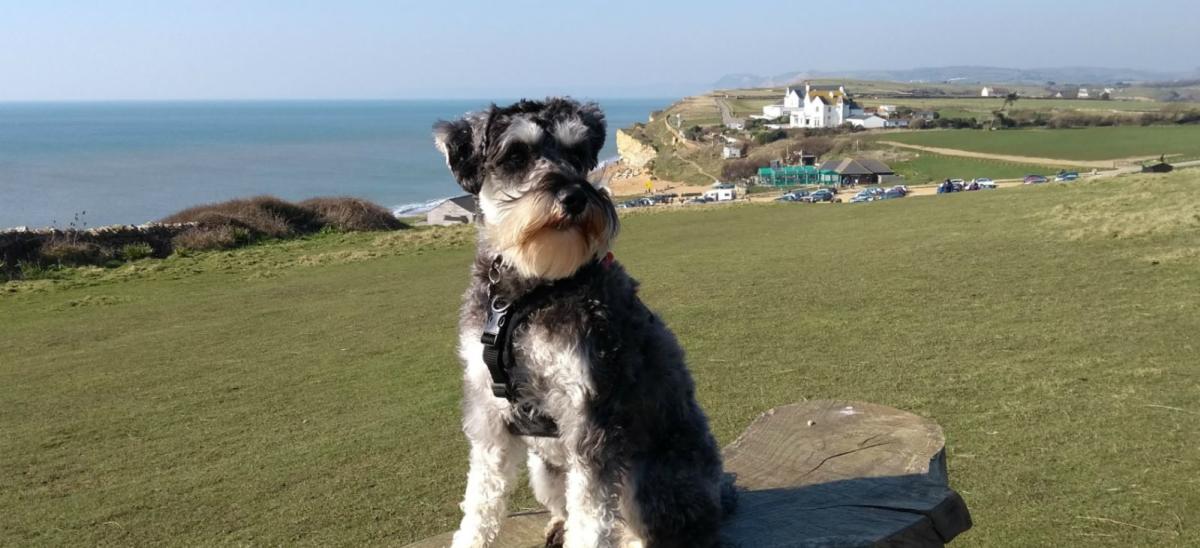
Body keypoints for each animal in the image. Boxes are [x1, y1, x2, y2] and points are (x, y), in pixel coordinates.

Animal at [434, 98, 724, 546]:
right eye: (516, 155)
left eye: (577, 154)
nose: (574, 197)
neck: (529, 292)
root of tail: (722, 493)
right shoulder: (488, 413)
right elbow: (481, 499)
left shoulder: (589, 413)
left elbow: (591, 514)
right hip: (544, 469)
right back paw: (558, 525)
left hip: (647, 479)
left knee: (641, 528)